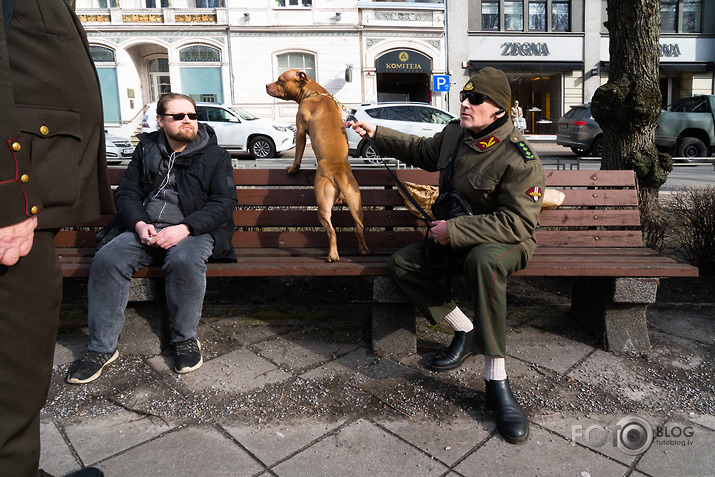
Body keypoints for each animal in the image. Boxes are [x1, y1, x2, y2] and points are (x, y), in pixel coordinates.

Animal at [266, 69, 372, 262]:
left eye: (280, 80)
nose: (266, 85)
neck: (315, 93)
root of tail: (338, 173)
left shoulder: (300, 130)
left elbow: (298, 155)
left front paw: (292, 169)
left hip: (322, 205)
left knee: (331, 231)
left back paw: (333, 255)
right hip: (356, 203)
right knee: (359, 228)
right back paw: (363, 251)